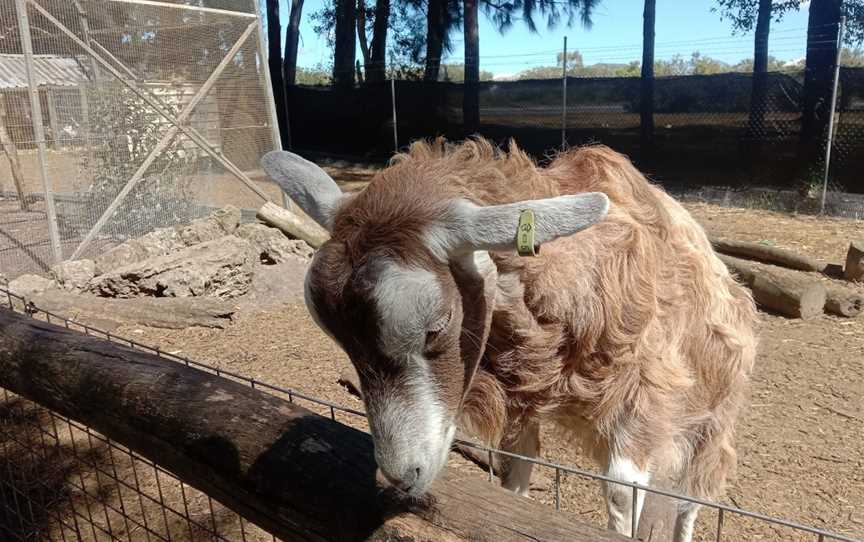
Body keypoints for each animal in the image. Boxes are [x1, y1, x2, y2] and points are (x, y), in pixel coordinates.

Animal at [262, 138, 756, 540]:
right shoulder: (525, 404)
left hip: (716, 413)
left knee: (696, 492)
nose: (404, 475)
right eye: (342, 341)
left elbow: (621, 491)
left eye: (436, 326)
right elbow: (514, 472)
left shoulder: (648, 395)